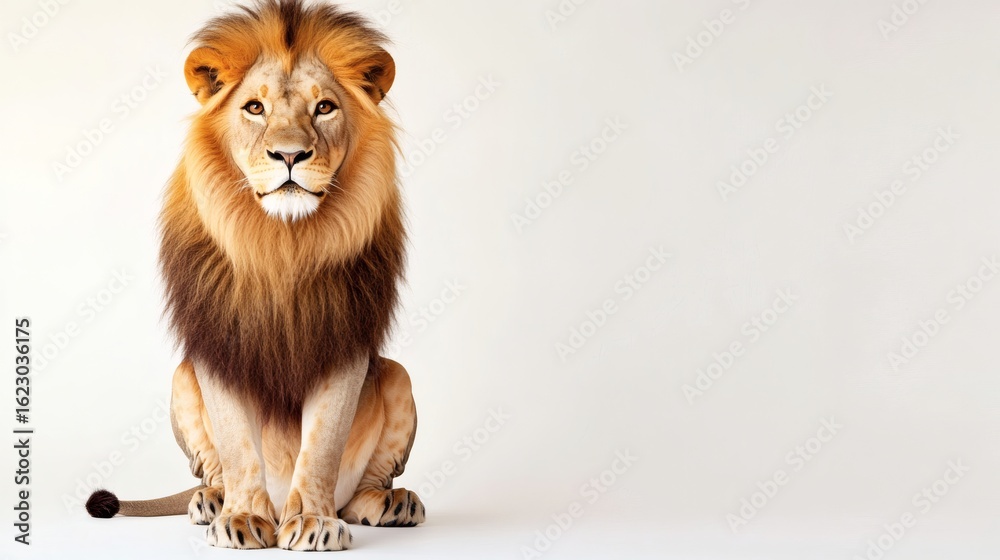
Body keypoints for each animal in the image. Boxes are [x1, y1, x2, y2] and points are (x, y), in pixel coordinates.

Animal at [84, 0, 424, 550]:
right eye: (254, 108)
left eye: (324, 107)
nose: (289, 154)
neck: (280, 243)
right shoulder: (219, 343)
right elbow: (237, 446)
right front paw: (243, 519)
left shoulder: (343, 340)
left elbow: (322, 445)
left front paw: (312, 521)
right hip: (182, 376)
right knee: (212, 469)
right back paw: (212, 501)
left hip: (397, 375)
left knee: (358, 493)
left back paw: (389, 502)